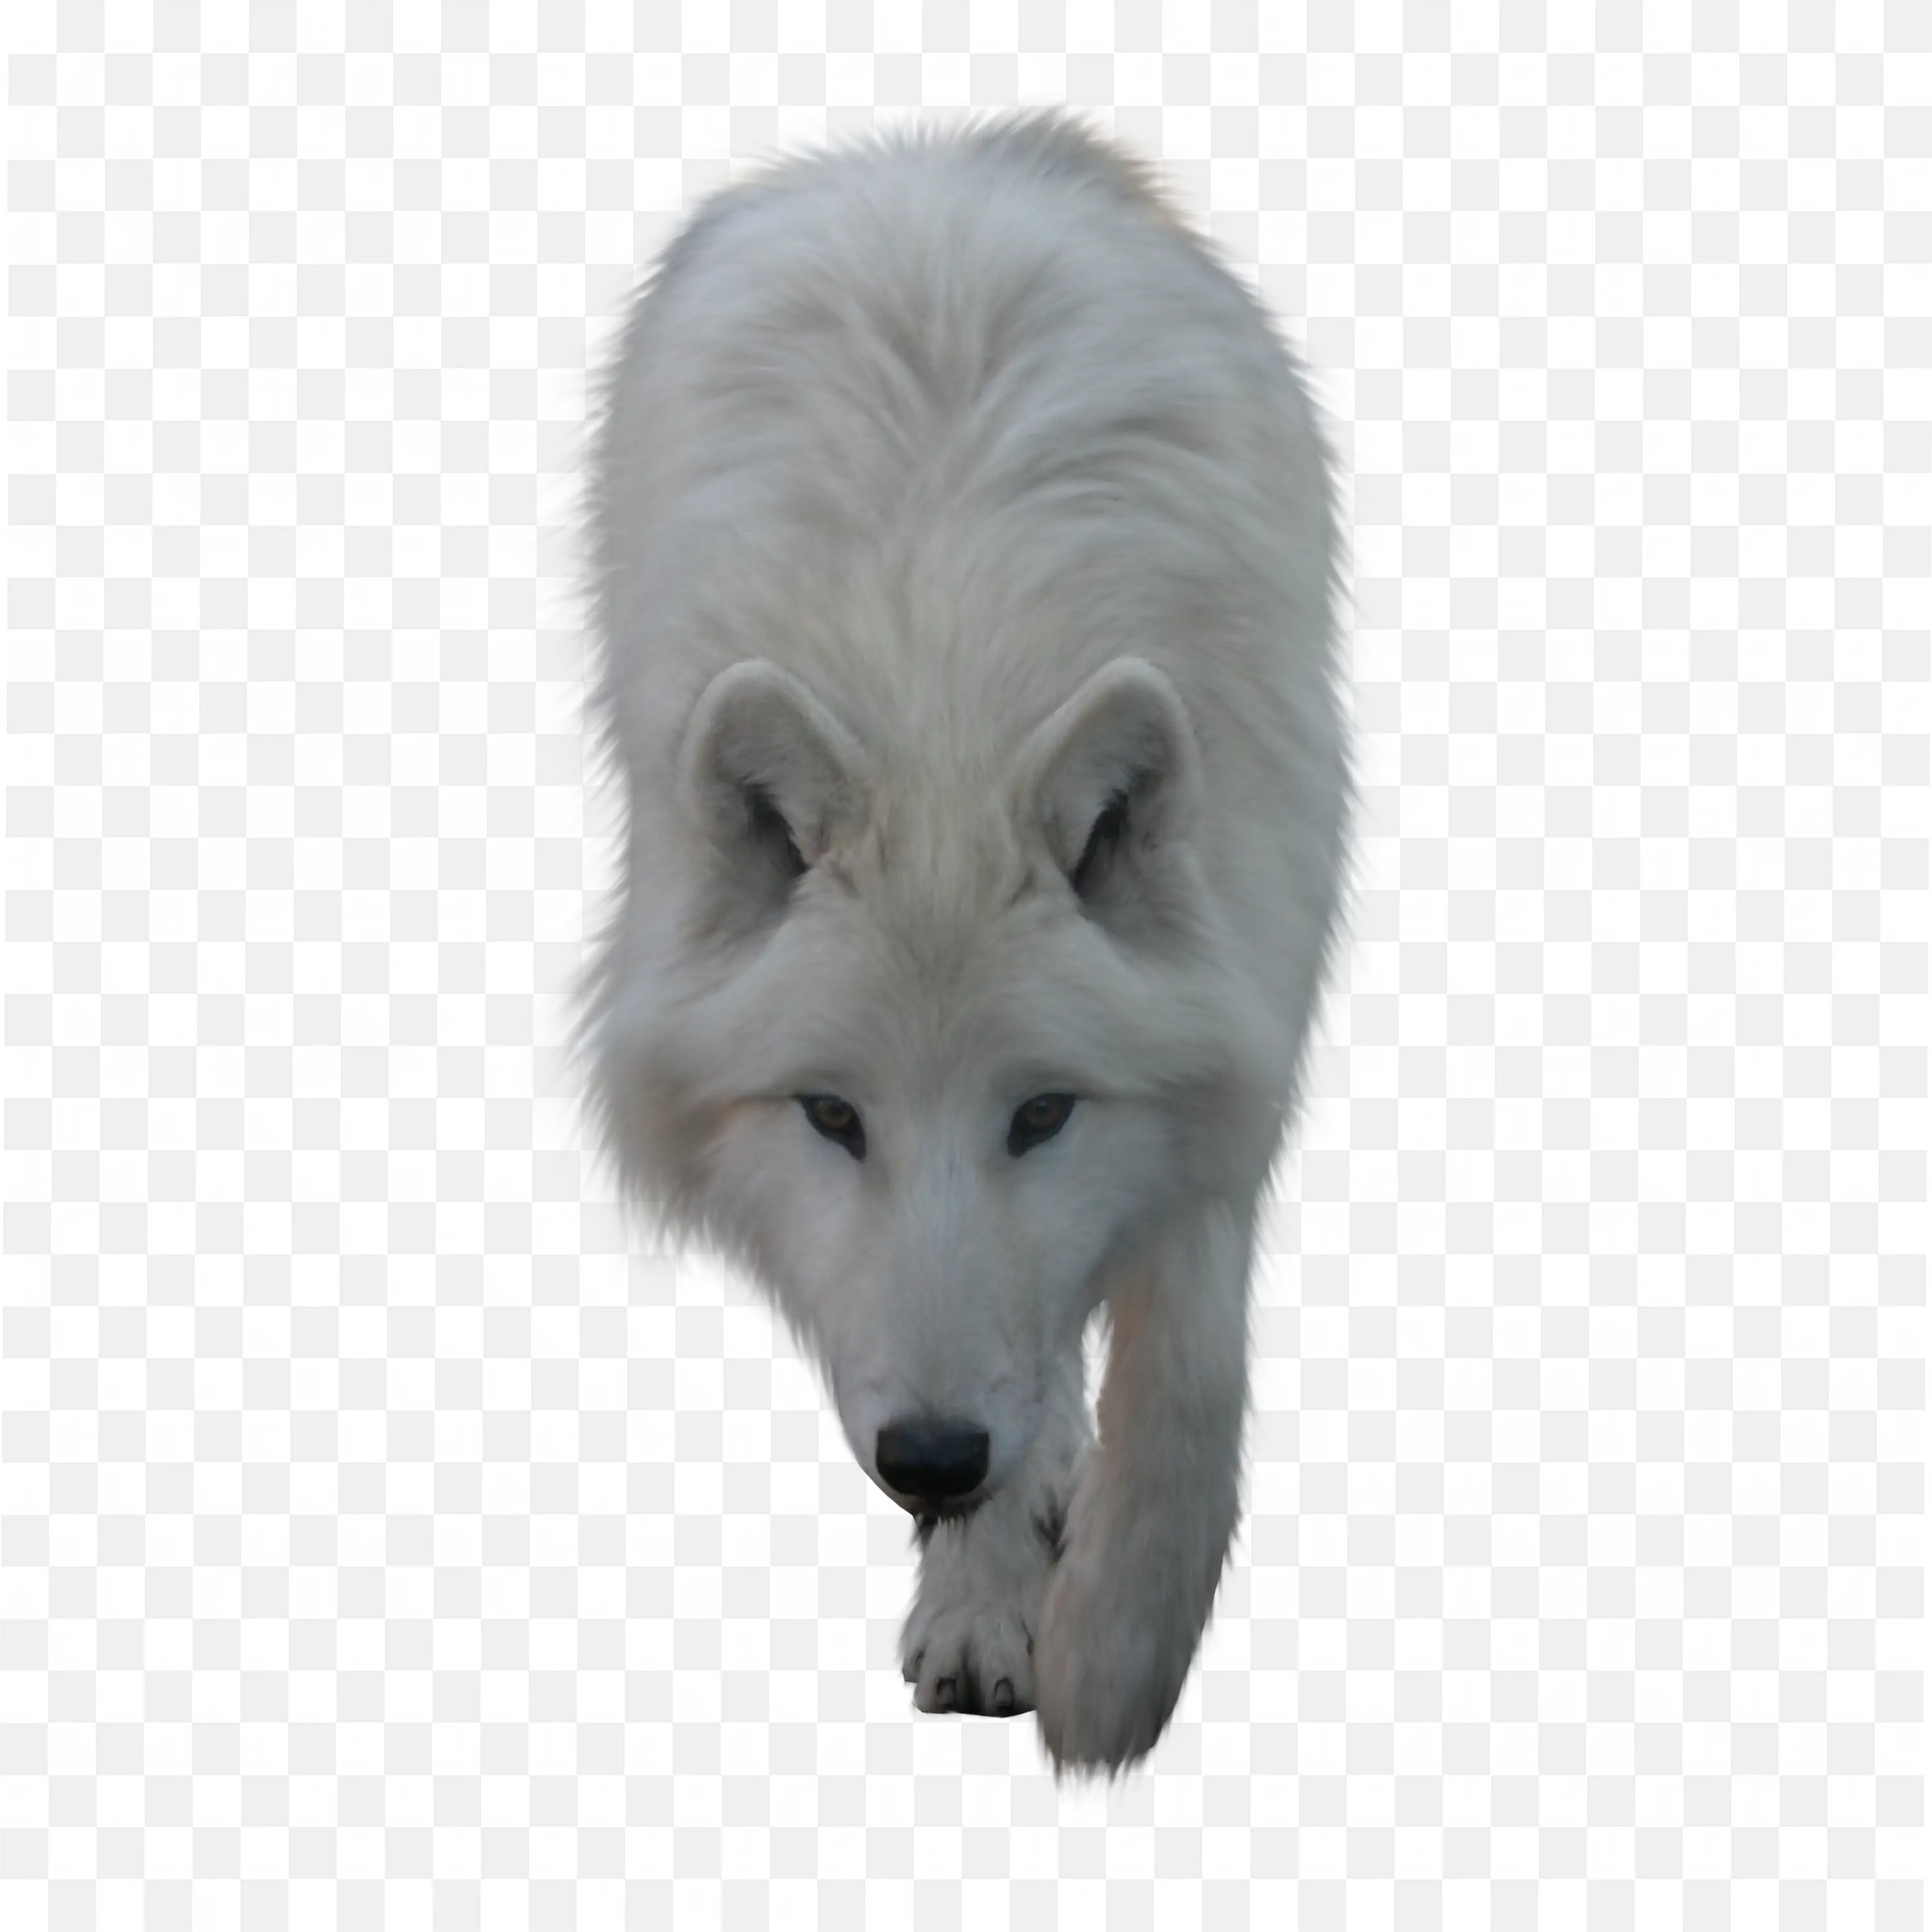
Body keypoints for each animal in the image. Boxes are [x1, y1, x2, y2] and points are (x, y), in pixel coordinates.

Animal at [581, 109, 1352, 1781]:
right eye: (829, 1114)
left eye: (1043, 1111)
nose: (931, 1461)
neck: (947, 702)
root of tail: (945, 152)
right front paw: (990, 1588)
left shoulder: (1238, 1003)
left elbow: (1181, 1364)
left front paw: (1113, 1664)